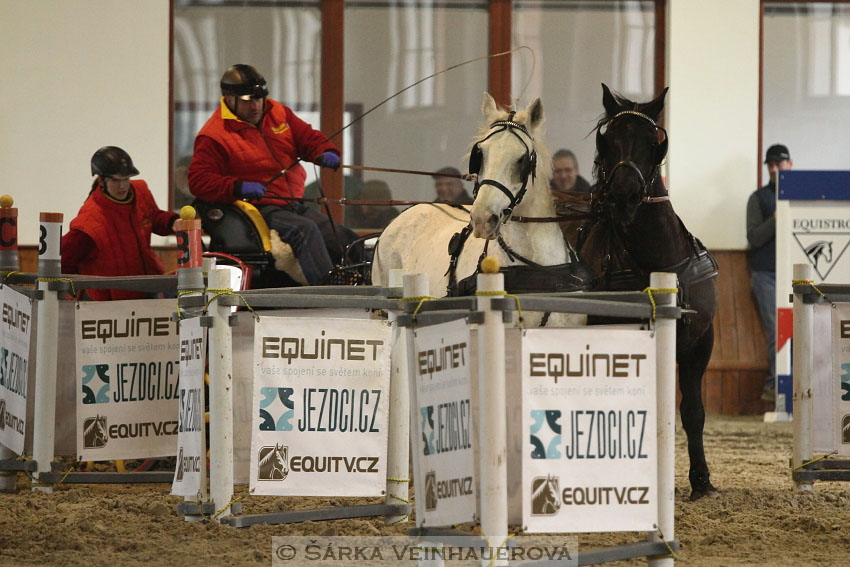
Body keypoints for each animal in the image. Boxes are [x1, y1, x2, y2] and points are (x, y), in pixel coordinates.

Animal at [576, 84, 716, 502]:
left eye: (654, 142)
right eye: (606, 141)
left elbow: (693, 412)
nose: (623, 196)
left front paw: (701, 480)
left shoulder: (700, 343)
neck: (657, 264)